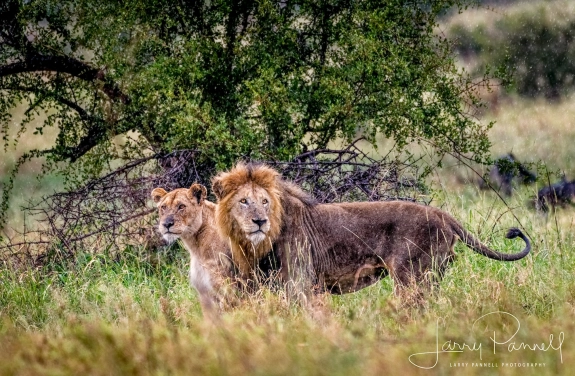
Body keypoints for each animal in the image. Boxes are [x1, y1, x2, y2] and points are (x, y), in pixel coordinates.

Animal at [151, 184, 238, 312]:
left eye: (181, 206)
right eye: (163, 207)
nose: (166, 224)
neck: (195, 246)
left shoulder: (227, 288)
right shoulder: (204, 292)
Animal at [214, 163, 532, 302]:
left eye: (265, 201)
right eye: (244, 201)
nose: (259, 221)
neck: (258, 244)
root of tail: (444, 215)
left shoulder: (300, 282)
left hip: (411, 276)